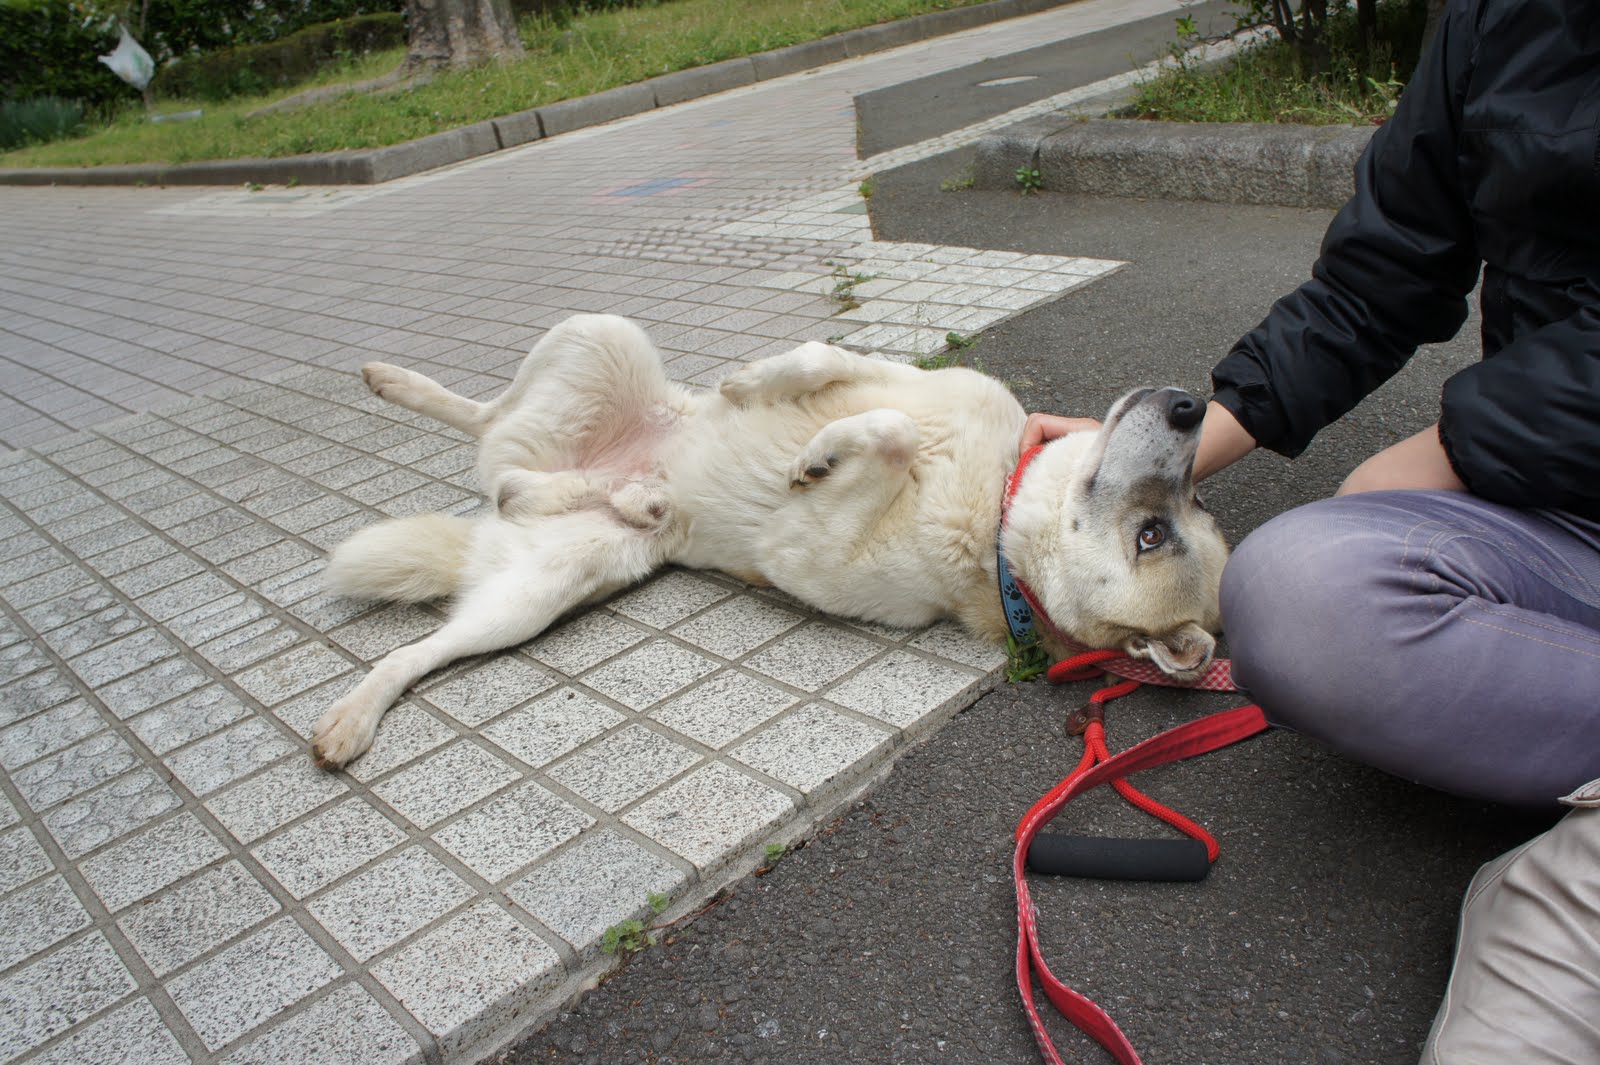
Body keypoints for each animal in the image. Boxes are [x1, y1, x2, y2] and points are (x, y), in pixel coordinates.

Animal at [315, 311, 1235, 767]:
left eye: (1154, 532)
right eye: (1179, 509)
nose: (1193, 406)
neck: (994, 501)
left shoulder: (806, 554)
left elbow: (889, 433)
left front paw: (816, 457)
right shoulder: (899, 378)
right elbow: (833, 367)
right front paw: (758, 390)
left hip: (543, 590)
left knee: (486, 518)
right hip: (603, 336)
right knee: (489, 425)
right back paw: (392, 380)